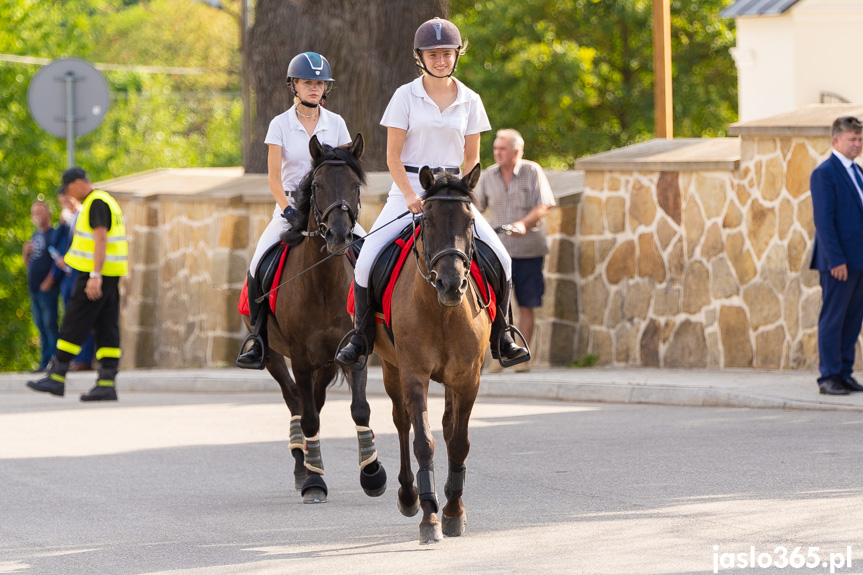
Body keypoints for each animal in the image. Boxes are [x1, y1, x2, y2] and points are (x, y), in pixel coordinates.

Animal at [253, 135, 388, 504]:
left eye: (355, 185)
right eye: (317, 185)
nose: (339, 236)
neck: (324, 283)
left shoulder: (354, 351)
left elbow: (360, 409)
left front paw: (372, 473)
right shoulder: (299, 358)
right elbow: (309, 417)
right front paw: (314, 482)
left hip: (326, 362)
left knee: (314, 398)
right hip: (273, 356)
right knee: (296, 403)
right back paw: (303, 468)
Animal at [372, 163, 490, 544]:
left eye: (470, 220)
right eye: (426, 218)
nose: (451, 283)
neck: (442, 311)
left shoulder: (468, 378)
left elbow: (458, 442)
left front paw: (453, 511)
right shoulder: (413, 374)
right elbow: (423, 441)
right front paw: (429, 517)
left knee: (448, 426)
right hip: (390, 367)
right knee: (402, 422)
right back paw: (410, 496)